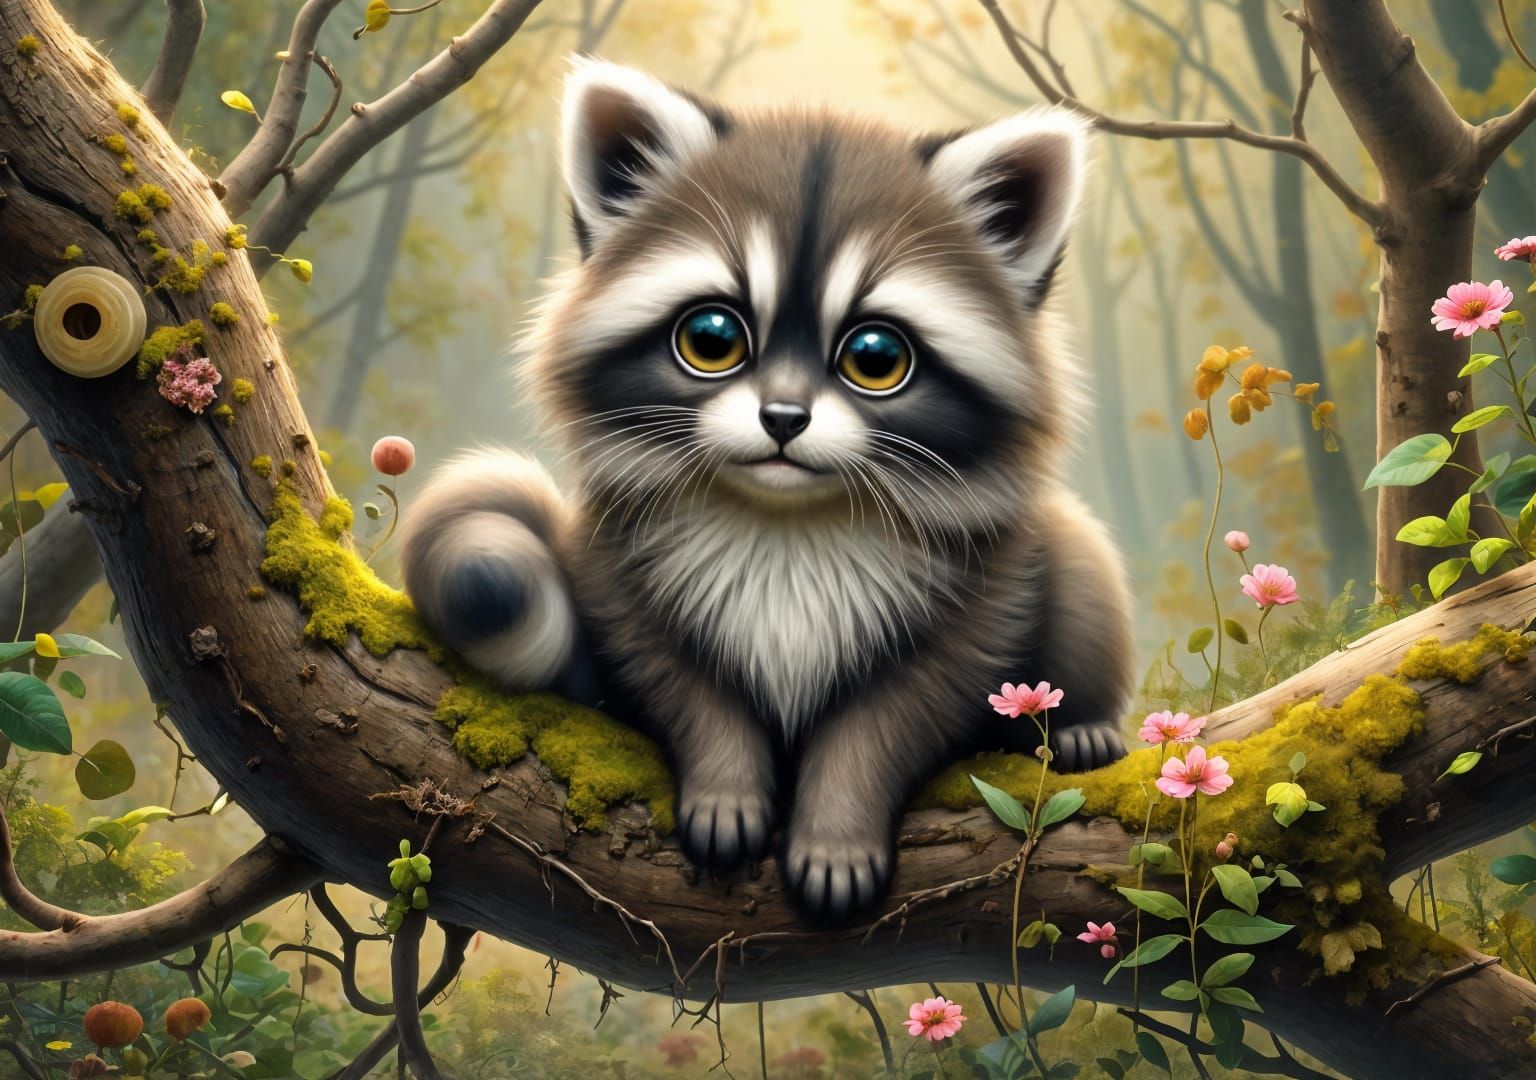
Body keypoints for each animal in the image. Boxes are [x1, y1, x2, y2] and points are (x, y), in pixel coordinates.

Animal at [400, 59, 1134, 919]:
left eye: (876, 357)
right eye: (711, 339)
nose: (783, 418)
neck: (789, 513)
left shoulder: (987, 585)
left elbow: (899, 709)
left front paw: (838, 824)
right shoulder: (616, 561)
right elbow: (679, 676)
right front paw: (726, 782)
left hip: (1065, 562)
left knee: (1085, 579)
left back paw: (1082, 724)